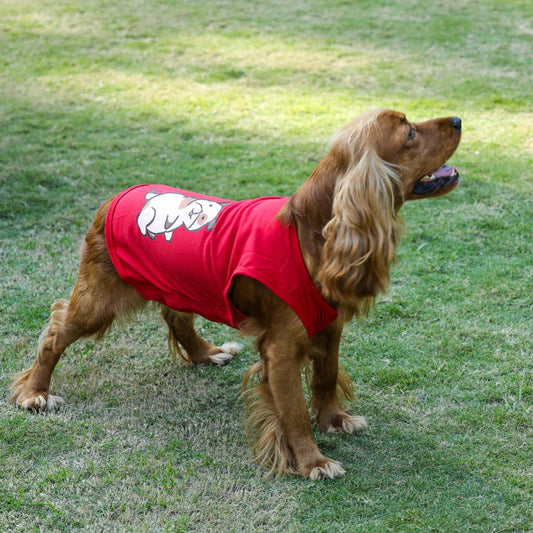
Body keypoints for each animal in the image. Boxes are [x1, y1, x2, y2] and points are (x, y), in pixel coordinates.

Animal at [11, 108, 462, 478]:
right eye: (409, 133)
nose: (458, 119)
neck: (313, 232)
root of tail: (115, 197)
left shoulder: (329, 328)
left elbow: (326, 378)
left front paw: (335, 420)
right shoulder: (281, 350)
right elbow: (294, 411)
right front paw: (312, 461)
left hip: (179, 285)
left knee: (176, 316)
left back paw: (206, 353)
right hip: (99, 298)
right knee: (56, 330)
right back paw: (35, 393)